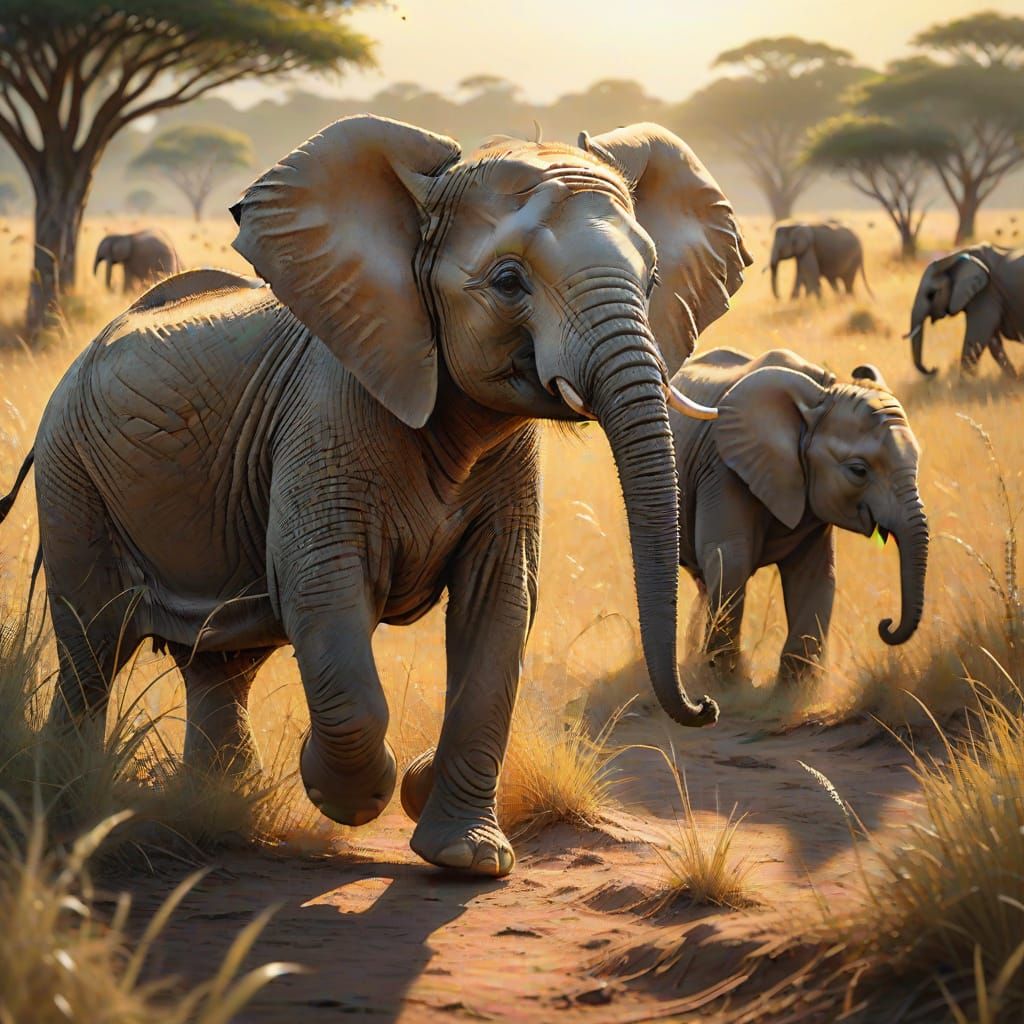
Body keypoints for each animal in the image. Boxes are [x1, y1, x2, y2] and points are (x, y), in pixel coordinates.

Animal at [0, 116, 751, 877]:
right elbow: (322, 590)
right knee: (92, 645)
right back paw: (69, 798)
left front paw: (465, 852)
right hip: (71, 473)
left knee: (217, 662)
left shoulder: (506, 462)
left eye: (652, 279)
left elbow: (500, 604)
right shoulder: (324, 417)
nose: (706, 707)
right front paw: (349, 792)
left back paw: (219, 804)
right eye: (509, 282)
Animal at [668, 348, 928, 684]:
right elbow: (731, 560)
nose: (886, 624)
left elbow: (815, 575)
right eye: (858, 471)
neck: (821, 396)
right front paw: (724, 683)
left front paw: (795, 689)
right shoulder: (723, 467)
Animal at [906, 244, 1024, 378]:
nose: (934, 368)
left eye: (931, 295)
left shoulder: (985, 293)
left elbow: (975, 341)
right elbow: (993, 344)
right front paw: (1012, 378)